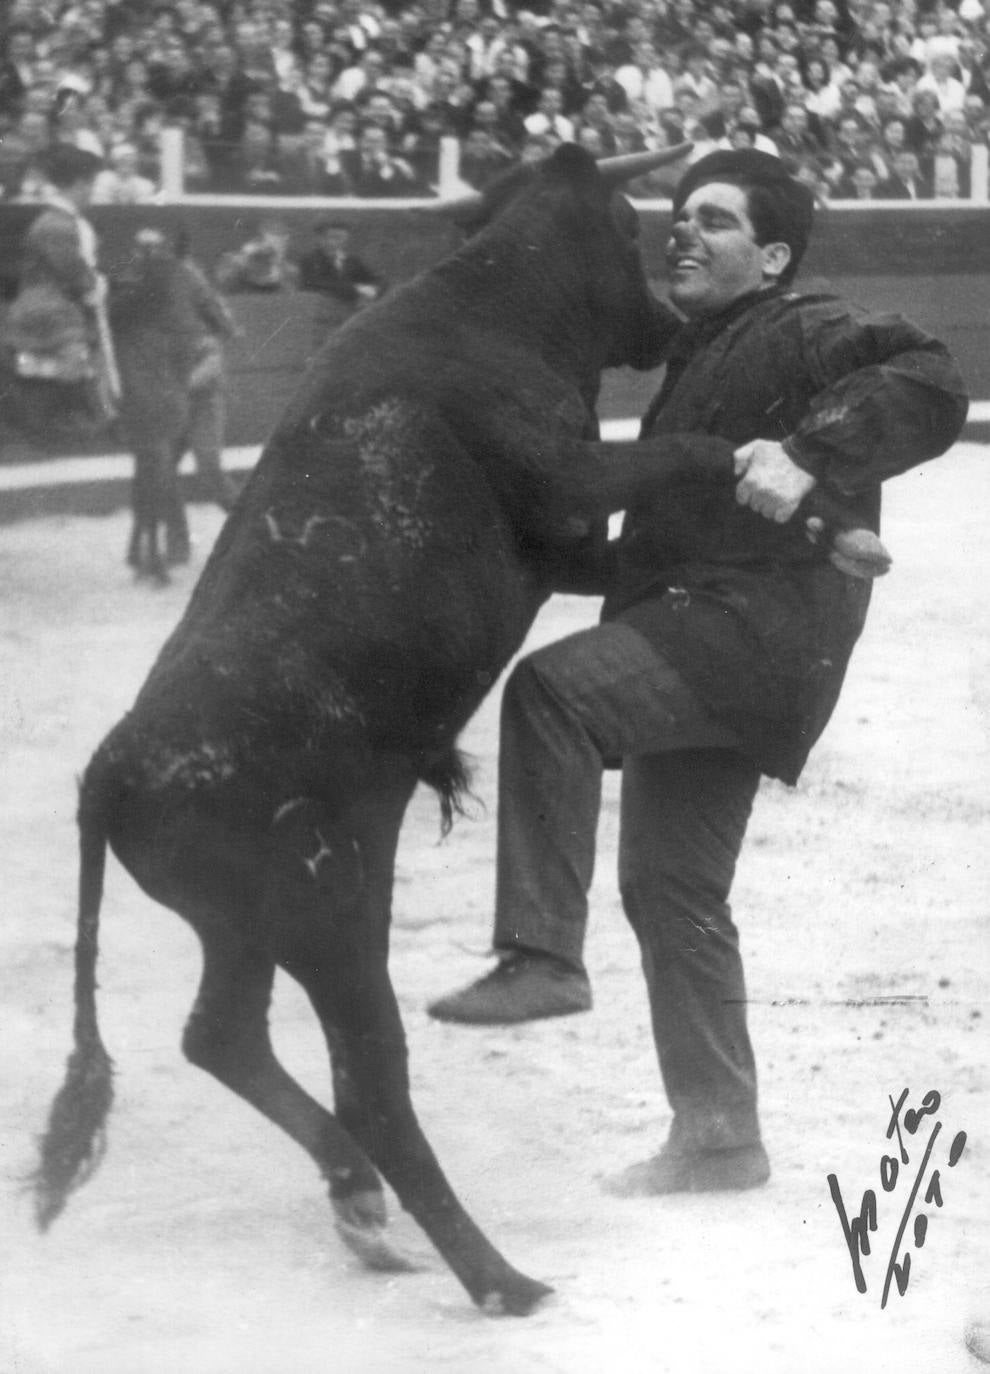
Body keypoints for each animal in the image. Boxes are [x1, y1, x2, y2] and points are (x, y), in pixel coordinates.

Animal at [34, 144, 889, 1313]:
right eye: (637, 225)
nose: (666, 318)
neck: (490, 305)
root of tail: (110, 772)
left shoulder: (580, 547)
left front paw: (837, 529)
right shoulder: (575, 486)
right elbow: (699, 449)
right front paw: (819, 512)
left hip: (244, 923)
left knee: (225, 1037)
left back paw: (361, 1204)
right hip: (333, 918)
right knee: (369, 1079)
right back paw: (497, 1277)